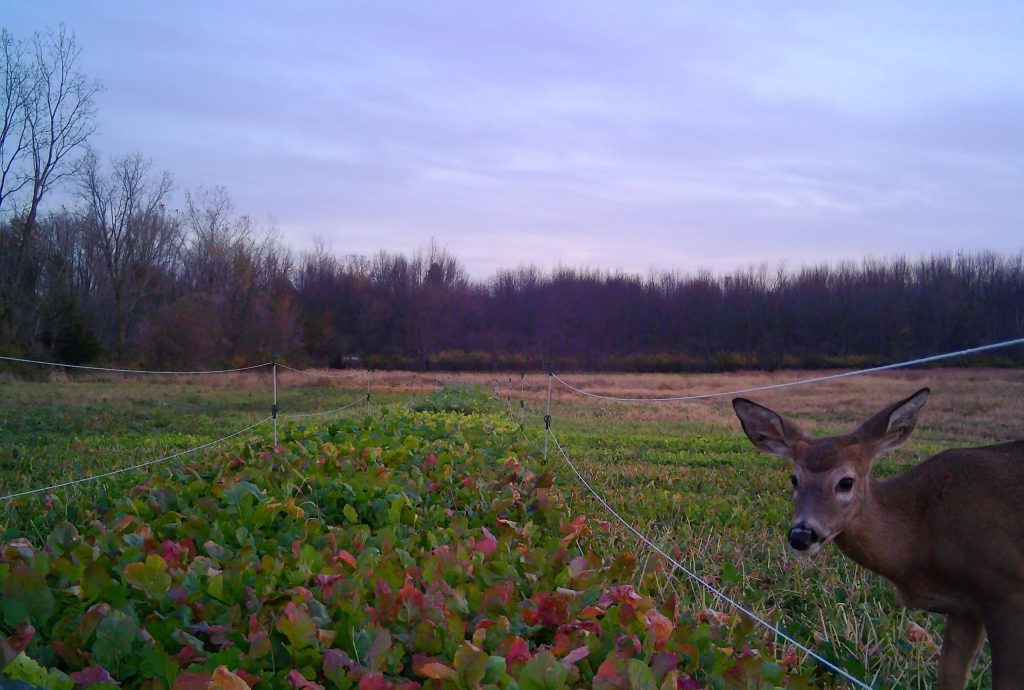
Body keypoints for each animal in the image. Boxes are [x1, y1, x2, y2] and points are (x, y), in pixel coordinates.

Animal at [733, 386, 1019, 687]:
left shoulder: (1005, 588)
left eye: (846, 482)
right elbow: (950, 676)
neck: (922, 533)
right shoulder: (966, 608)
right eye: (794, 479)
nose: (801, 534)